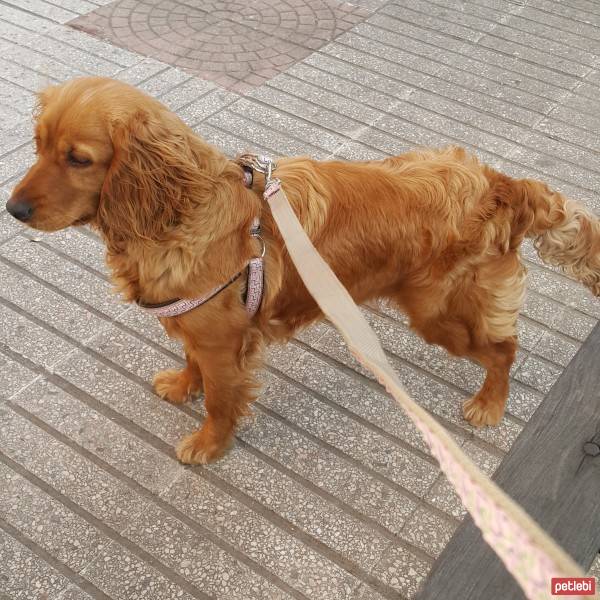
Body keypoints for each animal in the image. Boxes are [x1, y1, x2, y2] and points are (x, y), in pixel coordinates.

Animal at [5, 77, 600, 464]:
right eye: (37, 146)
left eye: (78, 158)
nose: (13, 209)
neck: (181, 209)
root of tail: (502, 183)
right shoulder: (200, 323)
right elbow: (193, 362)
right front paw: (182, 384)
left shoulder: (225, 341)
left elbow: (221, 398)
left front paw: (208, 444)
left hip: (439, 315)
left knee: (503, 349)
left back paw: (488, 404)